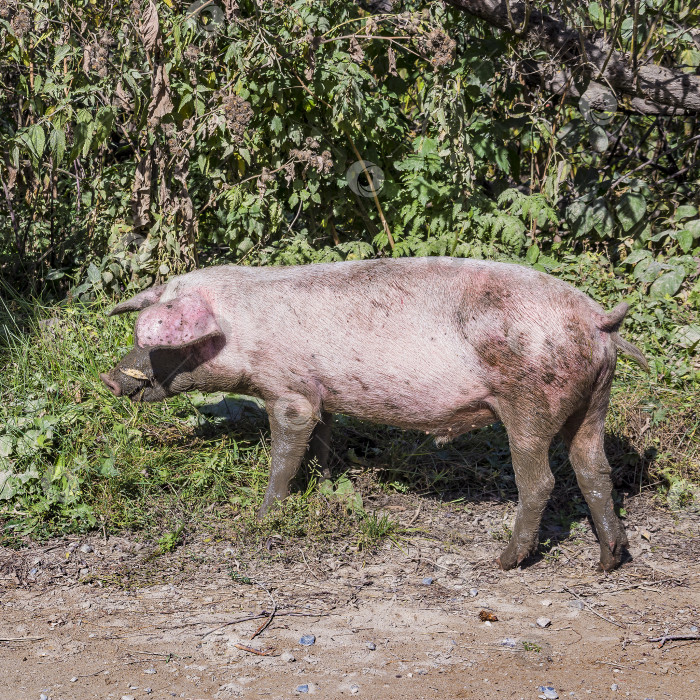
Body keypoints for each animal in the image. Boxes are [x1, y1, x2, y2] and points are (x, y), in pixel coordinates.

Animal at [101, 260, 648, 572]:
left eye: (162, 341)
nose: (110, 378)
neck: (239, 331)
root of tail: (598, 320)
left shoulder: (288, 390)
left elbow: (286, 449)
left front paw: (264, 515)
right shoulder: (322, 391)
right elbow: (322, 440)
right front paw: (324, 488)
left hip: (530, 402)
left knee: (540, 480)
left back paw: (504, 562)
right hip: (594, 401)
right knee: (595, 470)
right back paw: (607, 562)